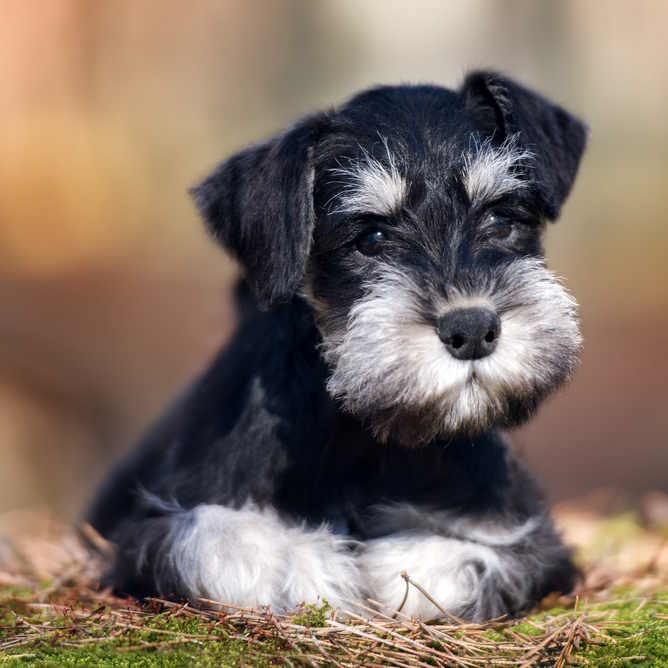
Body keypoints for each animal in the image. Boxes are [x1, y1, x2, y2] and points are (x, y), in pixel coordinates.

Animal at [87, 72, 584, 620]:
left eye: (500, 218)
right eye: (371, 237)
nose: (473, 328)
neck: (364, 433)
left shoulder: (532, 540)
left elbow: (457, 559)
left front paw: (386, 560)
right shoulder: (148, 532)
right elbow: (219, 540)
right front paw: (311, 561)